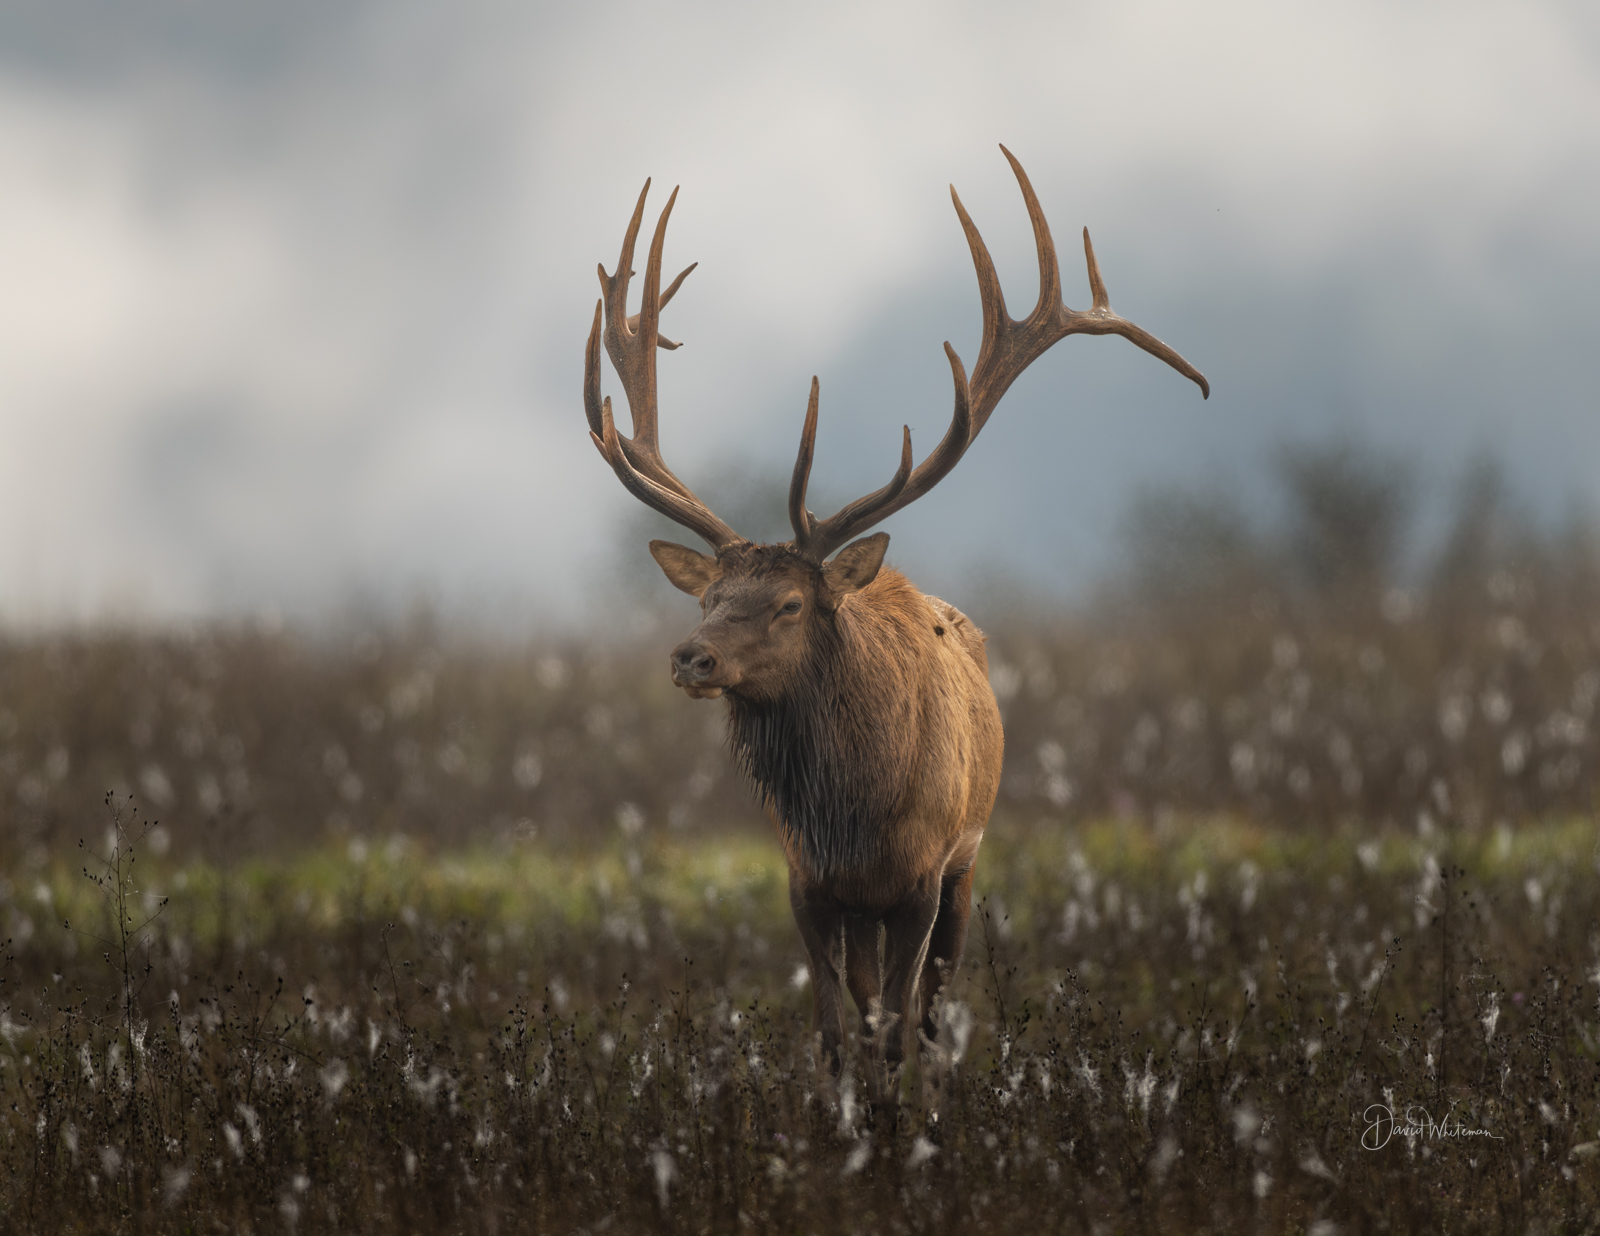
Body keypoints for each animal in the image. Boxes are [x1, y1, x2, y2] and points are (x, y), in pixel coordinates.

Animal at [582, 146, 1208, 1101]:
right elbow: (837, 1032)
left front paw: (902, 1116)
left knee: (933, 1011)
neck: (857, 816)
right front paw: (845, 1116)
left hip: (967, 864)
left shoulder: (923, 874)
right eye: (707, 599)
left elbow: (899, 1028)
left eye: (791, 603)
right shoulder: (805, 881)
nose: (691, 658)